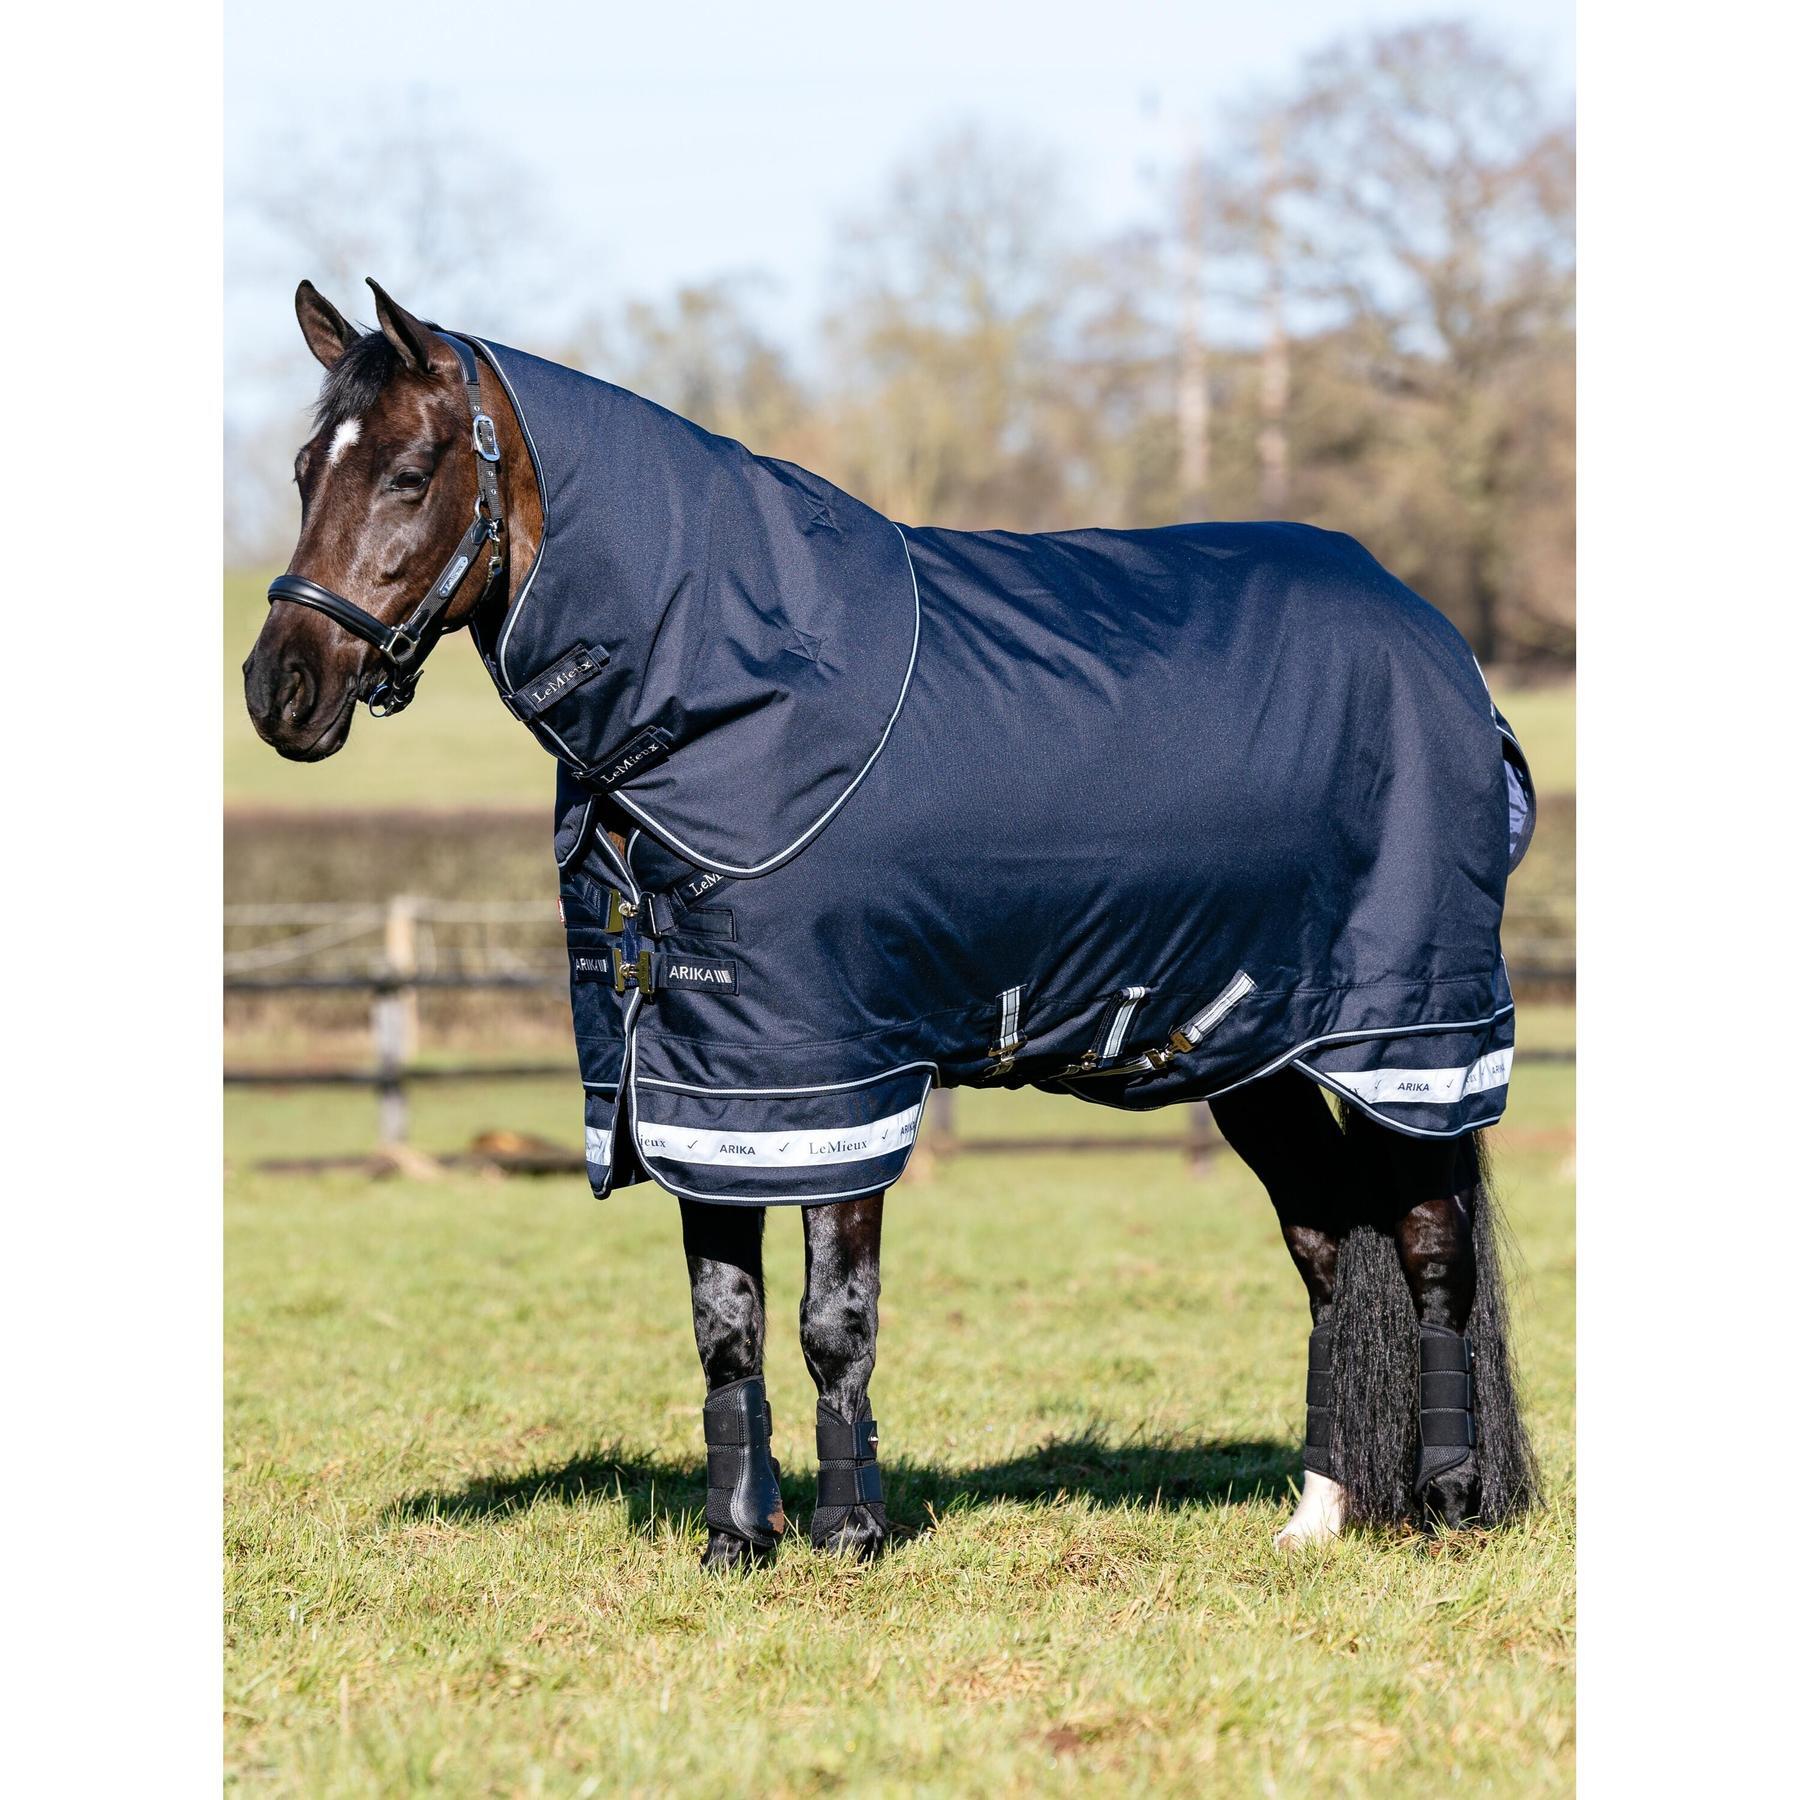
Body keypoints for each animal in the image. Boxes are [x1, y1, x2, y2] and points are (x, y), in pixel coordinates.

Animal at [244, 278, 1537, 1567]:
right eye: (305, 469)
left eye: (410, 472)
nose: (277, 690)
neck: (736, 693)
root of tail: (1436, 640)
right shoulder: (703, 1083)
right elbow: (725, 1320)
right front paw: (735, 1541)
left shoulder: (837, 1076)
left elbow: (834, 1317)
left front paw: (851, 1532)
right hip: (1251, 1052)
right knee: (1327, 1248)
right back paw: (1318, 1514)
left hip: (1413, 1038)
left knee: (1429, 1245)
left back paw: (1449, 1501)